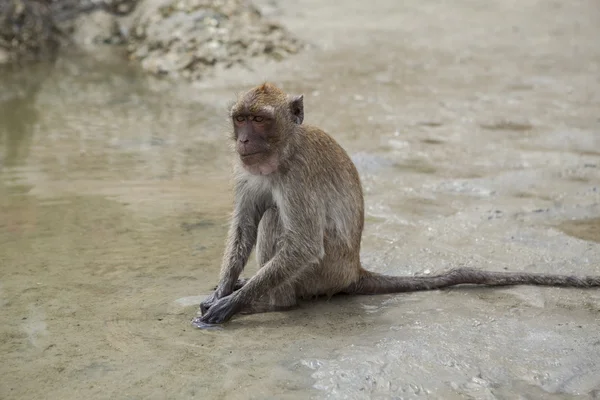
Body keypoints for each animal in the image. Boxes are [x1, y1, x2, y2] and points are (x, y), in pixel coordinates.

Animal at [192, 82, 600, 328]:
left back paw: (274, 303)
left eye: (259, 120)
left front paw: (231, 304)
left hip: (326, 272)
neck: (282, 153)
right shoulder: (245, 170)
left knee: (278, 221)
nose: (244, 140)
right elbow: (244, 227)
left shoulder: (299, 176)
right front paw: (223, 291)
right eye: (241, 119)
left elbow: (304, 244)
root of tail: (355, 270)